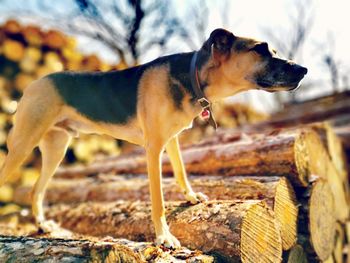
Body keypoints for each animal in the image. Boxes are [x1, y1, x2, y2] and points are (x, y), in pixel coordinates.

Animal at [0, 28, 306, 248]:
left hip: (56, 147)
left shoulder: (172, 140)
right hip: (23, 144)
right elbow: (158, 201)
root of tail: (34, 83)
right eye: (260, 49)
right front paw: (164, 238)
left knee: (36, 190)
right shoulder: (154, 149)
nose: (303, 69)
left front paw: (191, 197)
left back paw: (43, 225)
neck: (193, 77)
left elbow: (181, 171)